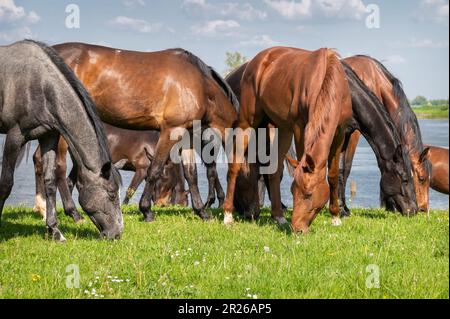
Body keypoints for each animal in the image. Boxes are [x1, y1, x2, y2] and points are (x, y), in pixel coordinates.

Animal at [0, 40, 123, 241]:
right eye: (112, 195)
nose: (116, 234)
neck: (39, 85)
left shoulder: (48, 136)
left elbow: (50, 182)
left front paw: (54, 230)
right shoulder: (14, 137)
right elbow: (6, 184)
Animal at [51, 42, 239, 222]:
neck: (200, 84)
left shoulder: (188, 135)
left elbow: (191, 174)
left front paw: (202, 212)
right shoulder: (171, 131)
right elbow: (154, 170)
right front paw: (146, 210)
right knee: (59, 168)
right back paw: (74, 214)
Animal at [223, 46, 354, 234]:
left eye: (308, 194)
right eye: (293, 191)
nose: (297, 228)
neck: (327, 77)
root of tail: (258, 60)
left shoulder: (340, 133)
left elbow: (334, 175)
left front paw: (335, 217)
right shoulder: (300, 128)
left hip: (282, 128)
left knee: (274, 170)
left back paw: (279, 216)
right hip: (247, 123)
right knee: (235, 164)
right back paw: (228, 215)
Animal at [340, 55, 430, 215]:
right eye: (421, 178)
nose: (422, 209)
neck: (374, 78)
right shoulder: (352, 133)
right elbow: (346, 168)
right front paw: (343, 208)